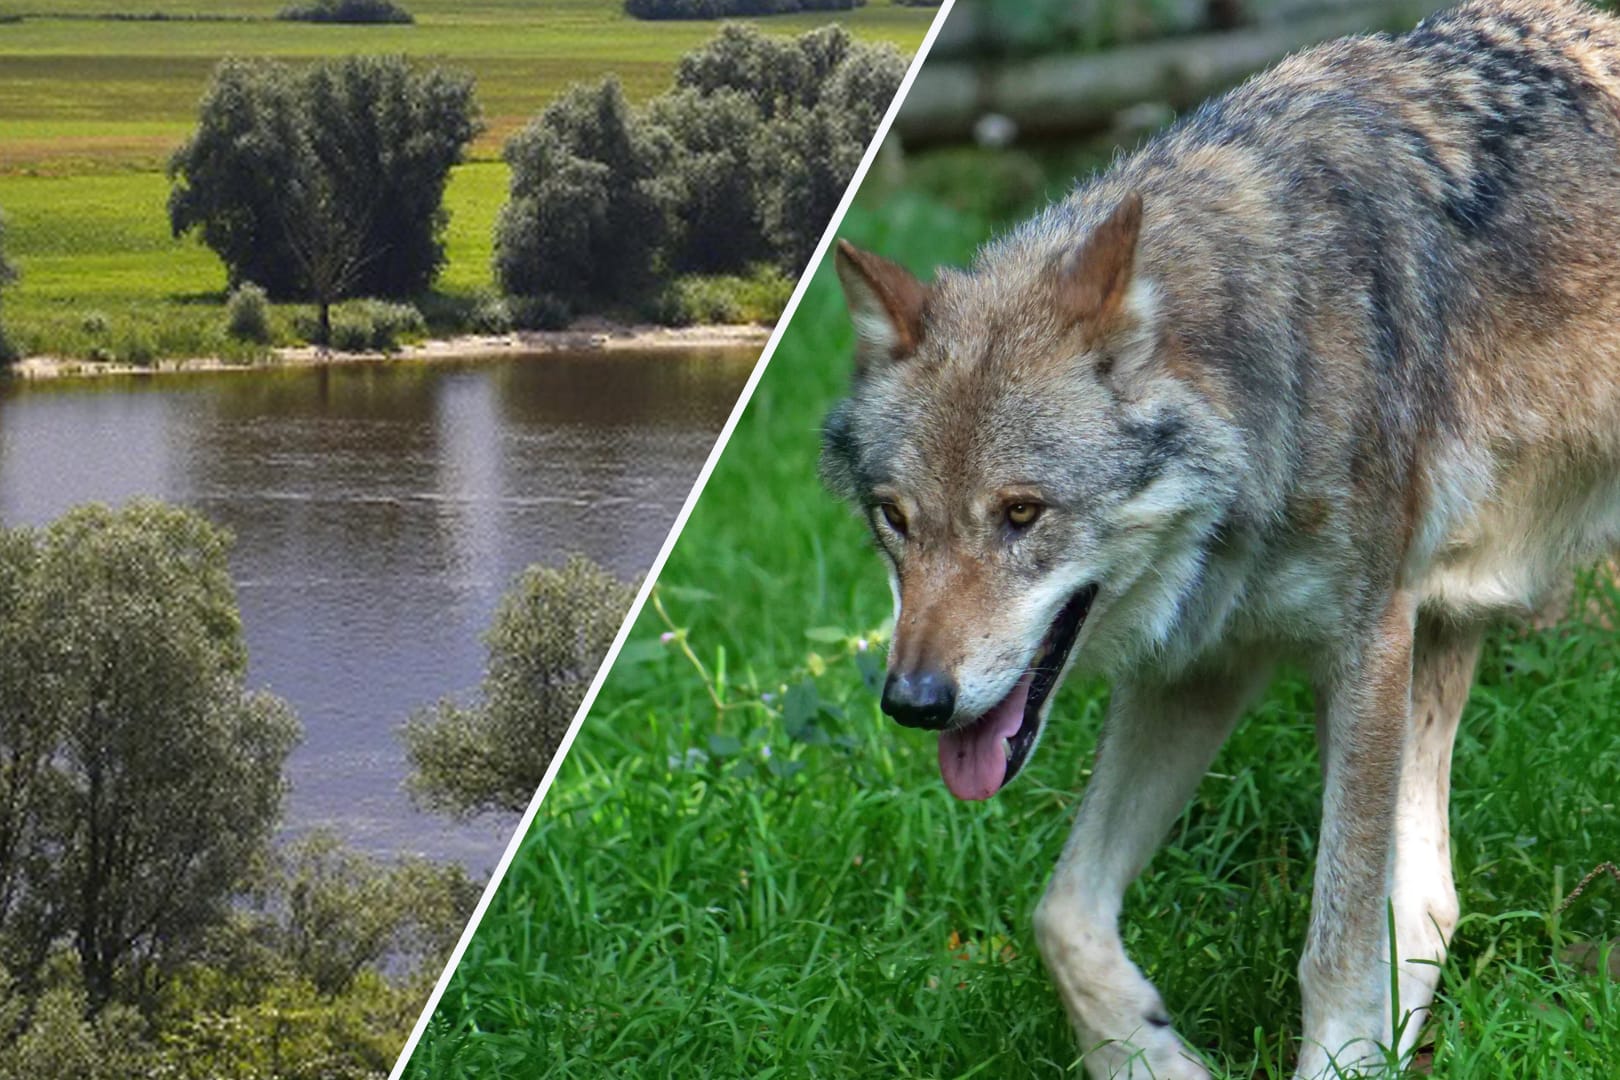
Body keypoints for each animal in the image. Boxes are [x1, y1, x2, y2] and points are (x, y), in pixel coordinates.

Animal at [822, 4, 1620, 1075]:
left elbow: (1336, 946)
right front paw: (1145, 1054)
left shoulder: (1366, 643)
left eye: (1022, 513)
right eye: (895, 520)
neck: (1280, 350)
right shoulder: (1202, 666)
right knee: (1429, 900)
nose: (913, 702)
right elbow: (1061, 915)